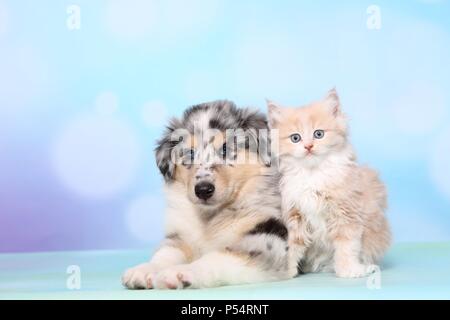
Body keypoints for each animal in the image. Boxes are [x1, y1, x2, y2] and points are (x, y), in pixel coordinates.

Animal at [121, 100, 294, 290]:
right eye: (189, 153)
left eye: (225, 149)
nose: (203, 190)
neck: (209, 218)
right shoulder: (181, 236)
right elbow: (167, 252)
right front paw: (146, 269)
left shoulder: (269, 239)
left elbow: (219, 257)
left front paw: (181, 272)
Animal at [268, 88, 390, 278]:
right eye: (295, 138)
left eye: (319, 134)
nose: (308, 147)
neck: (313, 175)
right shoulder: (294, 216)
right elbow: (292, 247)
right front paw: (285, 271)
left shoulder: (346, 214)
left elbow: (347, 246)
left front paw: (349, 270)